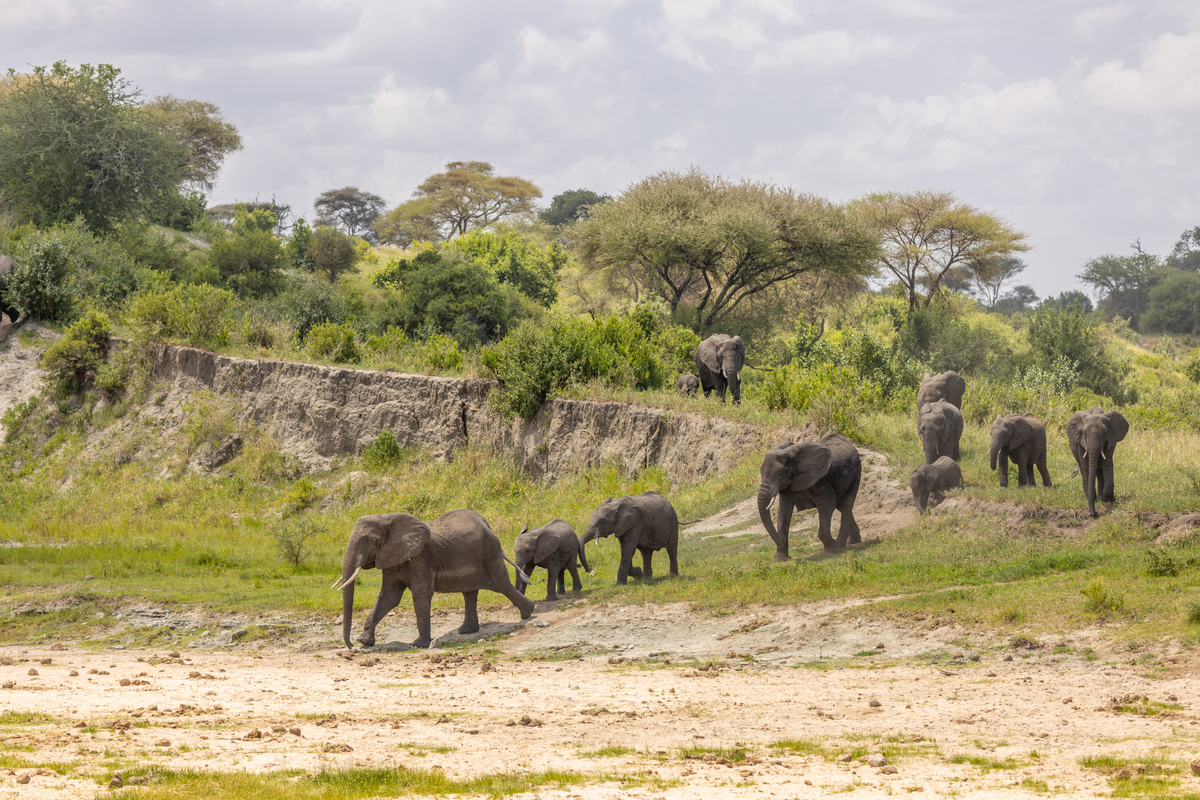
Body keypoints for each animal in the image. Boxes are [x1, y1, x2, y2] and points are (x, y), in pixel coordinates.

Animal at [335, 509, 535, 650]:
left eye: (365, 541)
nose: (350, 645)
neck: (387, 518)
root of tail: (487, 524)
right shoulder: (391, 560)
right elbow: (388, 597)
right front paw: (364, 641)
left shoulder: (421, 558)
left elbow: (421, 594)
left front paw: (419, 644)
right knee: (470, 592)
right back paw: (467, 630)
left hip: (490, 553)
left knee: (502, 584)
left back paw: (528, 612)